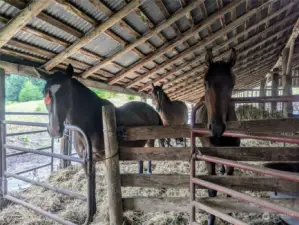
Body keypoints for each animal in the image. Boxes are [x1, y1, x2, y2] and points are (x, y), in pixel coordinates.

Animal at [195, 48, 241, 225]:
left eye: (232, 84)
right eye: (205, 82)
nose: (216, 128)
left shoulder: (233, 153)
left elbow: (229, 186)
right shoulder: (209, 155)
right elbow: (212, 190)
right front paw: (211, 218)